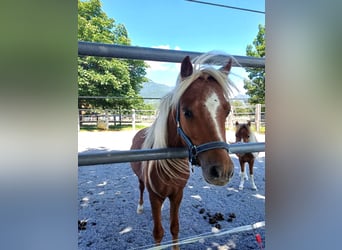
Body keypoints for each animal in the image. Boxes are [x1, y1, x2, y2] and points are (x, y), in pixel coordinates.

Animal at [130, 52, 236, 248]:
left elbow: (174, 228)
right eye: (187, 112)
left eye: (227, 111)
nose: (222, 171)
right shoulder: (154, 196)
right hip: (141, 179)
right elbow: (158, 233)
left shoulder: (177, 194)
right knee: (140, 187)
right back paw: (140, 207)